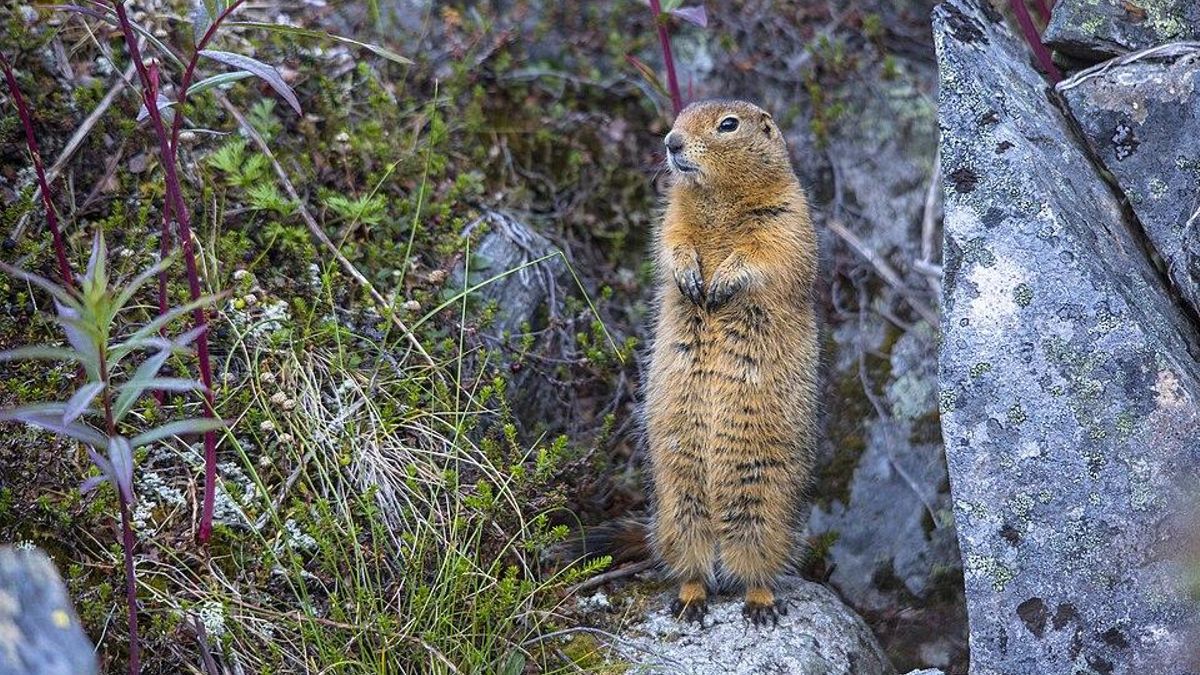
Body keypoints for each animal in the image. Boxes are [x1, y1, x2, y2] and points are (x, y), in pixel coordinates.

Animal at [579, 99, 819, 626]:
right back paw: (690, 599)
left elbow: (767, 253)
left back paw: (758, 602)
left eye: (728, 125)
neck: (716, 197)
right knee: (691, 564)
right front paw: (690, 276)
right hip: (677, 508)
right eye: (681, 114)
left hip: (764, 510)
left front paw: (724, 281)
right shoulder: (673, 214)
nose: (671, 142)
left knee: (758, 566)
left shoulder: (787, 216)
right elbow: (671, 241)